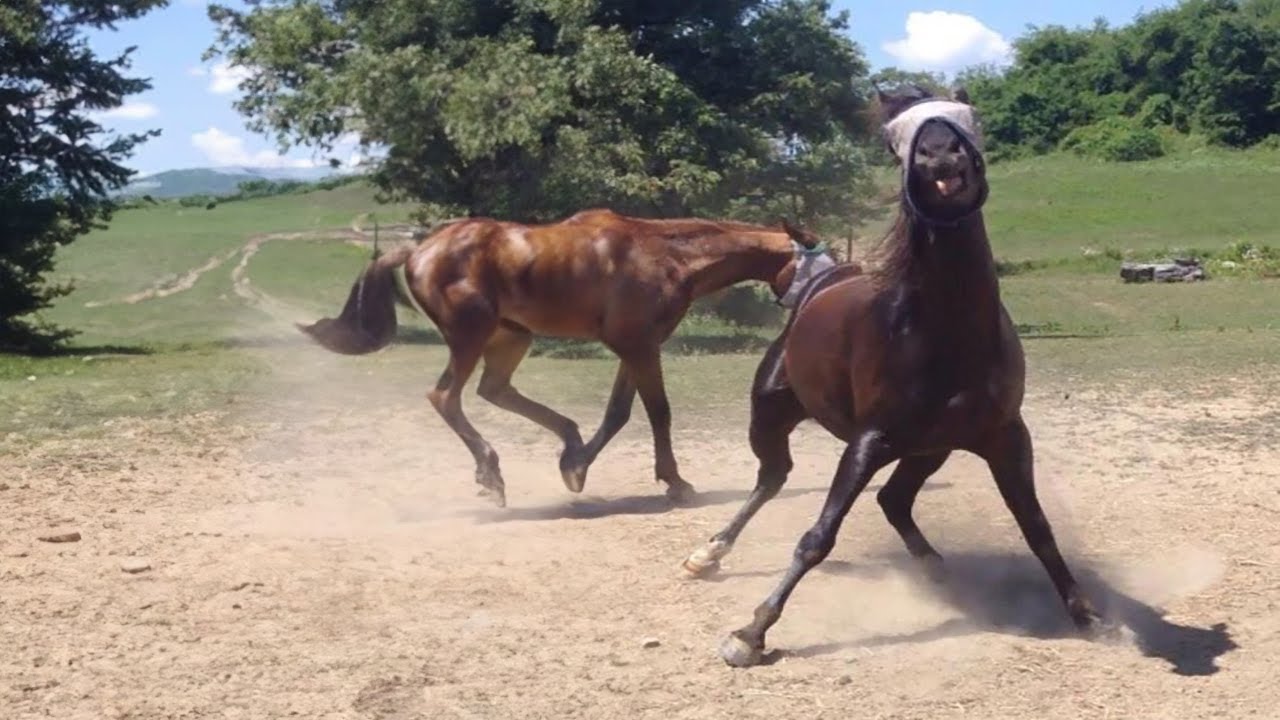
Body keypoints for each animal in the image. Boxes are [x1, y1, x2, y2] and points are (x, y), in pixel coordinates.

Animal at [298, 208, 838, 508]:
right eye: (818, 257)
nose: (828, 291)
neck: (665, 255)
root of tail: (417, 250)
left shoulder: (635, 348)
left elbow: (619, 413)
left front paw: (576, 467)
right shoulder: (640, 347)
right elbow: (658, 413)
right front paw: (676, 483)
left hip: (510, 339)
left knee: (493, 391)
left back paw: (560, 444)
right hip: (470, 337)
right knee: (446, 396)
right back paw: (491, 474)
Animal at [678, 86, 1110, 667]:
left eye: (969, 117)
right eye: (894, 138)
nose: (941, 158)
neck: (949, 336)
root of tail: (826, 279)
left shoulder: (1005, 437)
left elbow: (1037, 527)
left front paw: (1087, 613)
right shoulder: (869, 441)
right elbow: (818, 537)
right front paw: (751, 632)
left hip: (931, 449)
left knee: (893, 500)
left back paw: (936, 569)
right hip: (771, 417)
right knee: (772, 478)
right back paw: (709, 553)